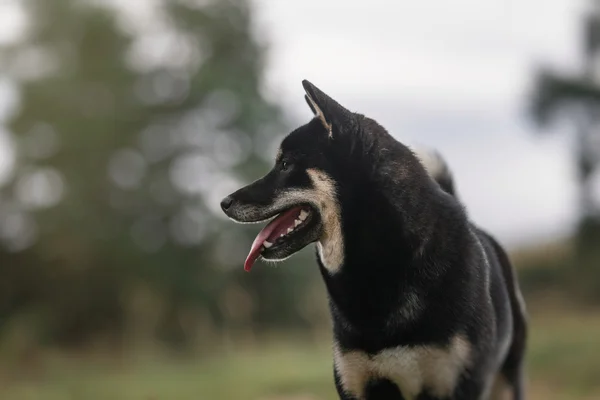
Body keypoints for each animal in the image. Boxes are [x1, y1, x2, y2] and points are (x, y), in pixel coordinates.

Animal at [220, 79, 524, 398]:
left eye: (285, 165)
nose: (224, 203)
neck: (379, 262)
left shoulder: (459, 382)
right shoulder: (357, 383)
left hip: (506, 380)